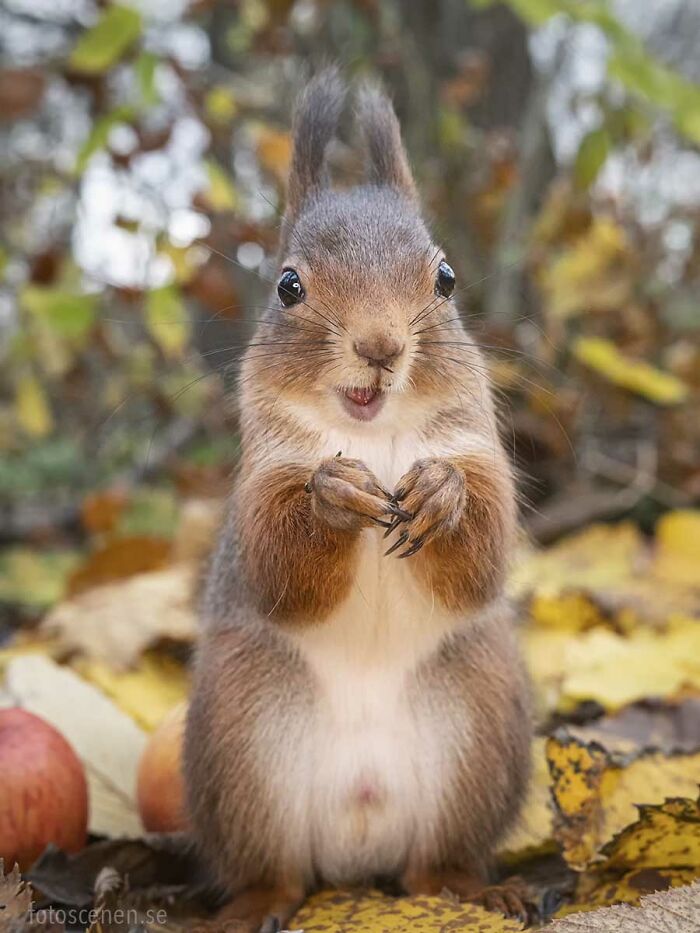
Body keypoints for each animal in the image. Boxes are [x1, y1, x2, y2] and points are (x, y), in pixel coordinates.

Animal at [184, 68, 532, 933]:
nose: (380, 345)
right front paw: (330, 495)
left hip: (477, 730)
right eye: (287, 285)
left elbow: (484, 554)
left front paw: (441, 491)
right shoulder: (258, 487)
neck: (374, 437)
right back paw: (252, 904)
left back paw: (475, 888)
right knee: (273, 868)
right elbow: (279, 567)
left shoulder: (480, 451)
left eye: (445, 279)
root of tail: (357, 845)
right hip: (244, 741)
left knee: (434, 865)